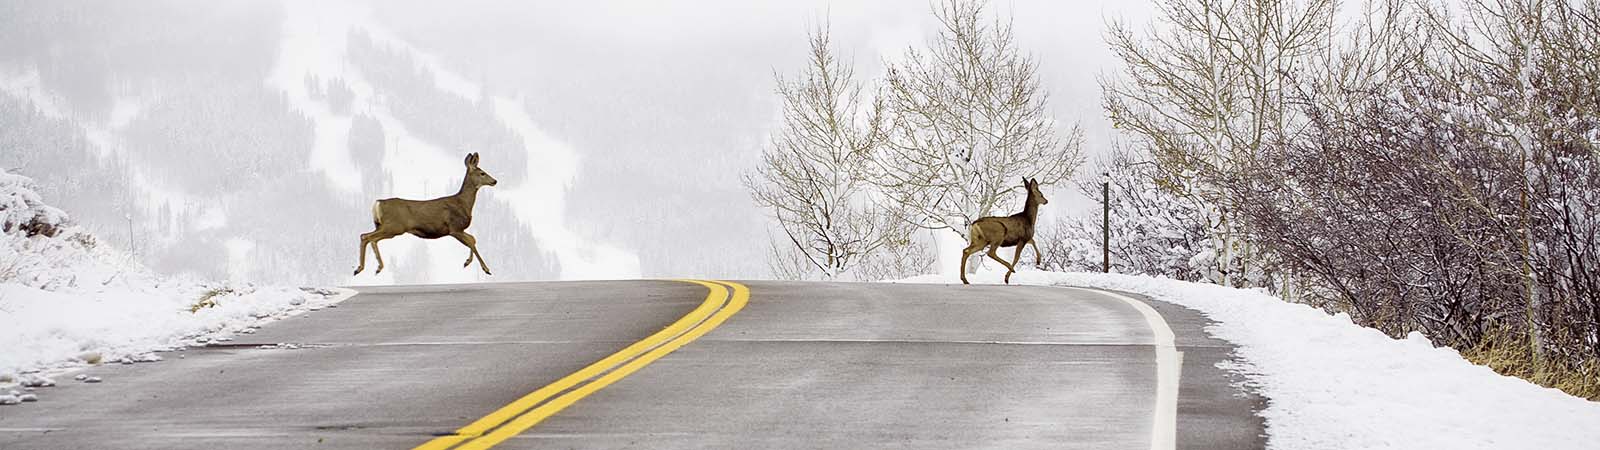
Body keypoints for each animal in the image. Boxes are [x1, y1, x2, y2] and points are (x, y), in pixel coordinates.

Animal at [353, 152, 496, 275]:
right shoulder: (454, 228)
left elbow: (473, 239)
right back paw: (363, 268)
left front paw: (467, 262)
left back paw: (373, 267)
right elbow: (471, 242)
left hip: (383, 226)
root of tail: (378, 203)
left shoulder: (458, 229)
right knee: (367, 237)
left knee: (369, 237)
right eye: (482, 173)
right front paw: (486, 269)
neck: (463, 203)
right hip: (394, 227)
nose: (495, 181)